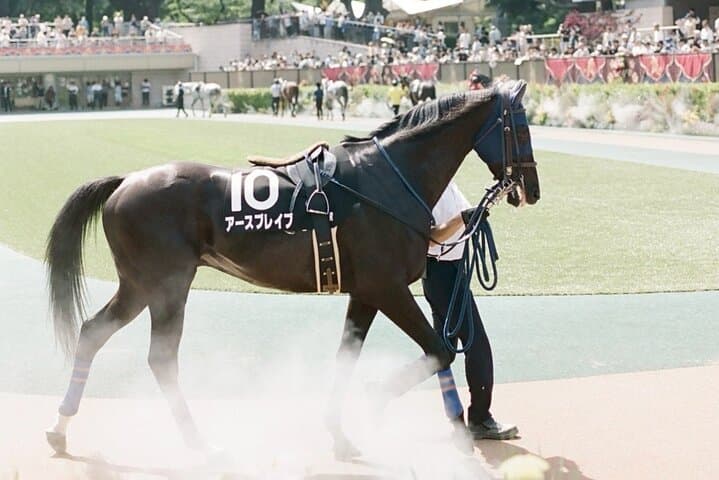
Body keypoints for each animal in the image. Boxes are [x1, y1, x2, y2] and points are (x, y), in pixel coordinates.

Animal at [45, 80, 540, 460]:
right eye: (520, 127)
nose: (531, 189)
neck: (388, 180)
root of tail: (125, 181)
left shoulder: (365, 292)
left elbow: (347, 357)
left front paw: (340, 433)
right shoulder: (388, 287)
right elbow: (439, 349)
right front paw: (385, 402)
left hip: (138, 286)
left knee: (93, 333)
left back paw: (61, 428)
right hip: (166, 286)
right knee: (161, 358)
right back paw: (197, 441)